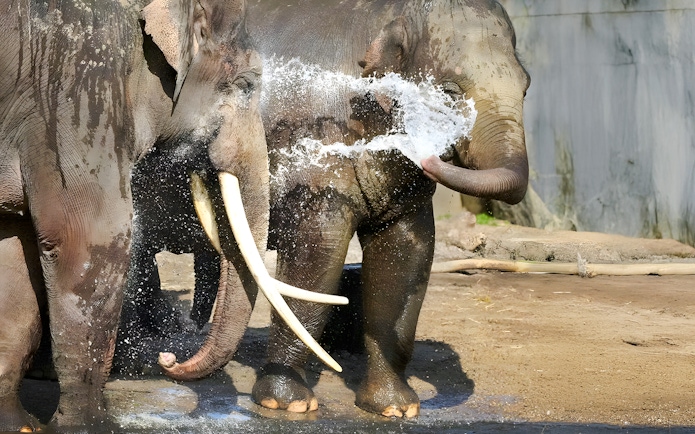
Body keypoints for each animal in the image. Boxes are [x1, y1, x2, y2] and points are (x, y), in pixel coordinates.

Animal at [0, 0, 340, 429]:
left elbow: (14, 252)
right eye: (246, 85)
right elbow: (89, 241)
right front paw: (92, 428)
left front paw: (18, 426)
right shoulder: (77, 92)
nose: (170, 359)